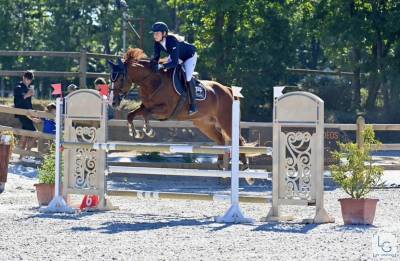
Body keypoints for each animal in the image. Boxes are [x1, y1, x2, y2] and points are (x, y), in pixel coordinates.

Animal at [107, 48, 250, 171]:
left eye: (120, 78)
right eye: (110, 79)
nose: (113, 102)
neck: (152, 81)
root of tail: (229, 90)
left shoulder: (166, 110)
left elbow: (146, 114)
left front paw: (148, 131)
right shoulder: (145, 107)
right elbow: (131, 115)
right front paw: (135, 133)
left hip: (226, 121)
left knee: (239, 139)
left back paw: (244, 164)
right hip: (204, 124)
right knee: (220, 139)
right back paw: (220, 162)